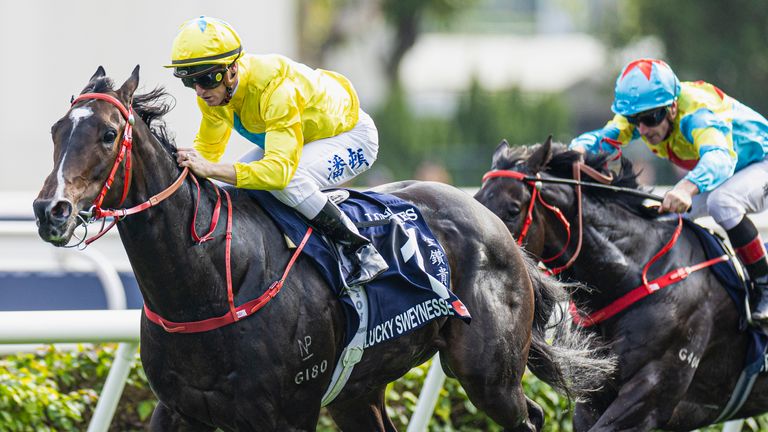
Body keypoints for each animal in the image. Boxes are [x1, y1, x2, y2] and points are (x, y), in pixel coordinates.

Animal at [33, 66, 612, 430]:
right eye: (57, 130)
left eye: (109, 134)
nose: (49, 210)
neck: (211, 282)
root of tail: (495, 225)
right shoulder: (178, 409)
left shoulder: (288, 413)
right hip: (359, 389)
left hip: (488, 375)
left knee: (530, 416)